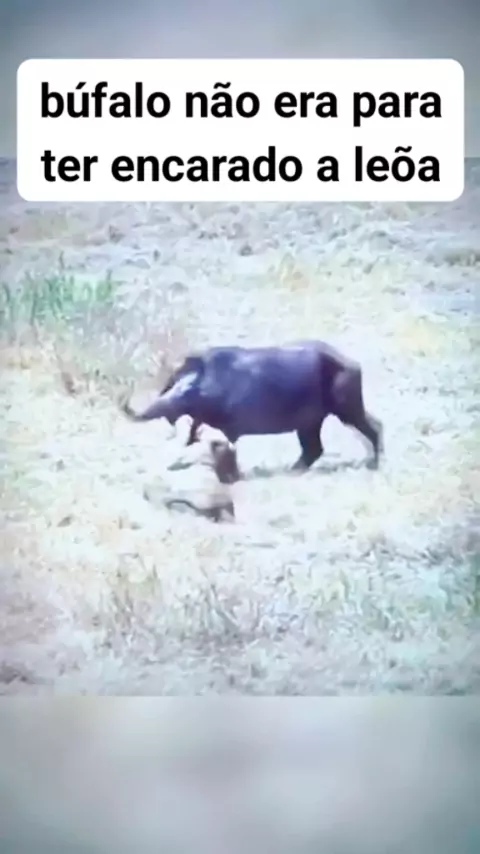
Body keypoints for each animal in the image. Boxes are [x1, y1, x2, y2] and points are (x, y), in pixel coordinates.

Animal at [120, 340, 383, 471]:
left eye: (184, 393)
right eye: (173, 385)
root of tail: (351, 363)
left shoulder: (230, 430)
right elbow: (193, 435)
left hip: (346, 410)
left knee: (372, 429)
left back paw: (374, 463)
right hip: (313, 421)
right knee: (315, 449)